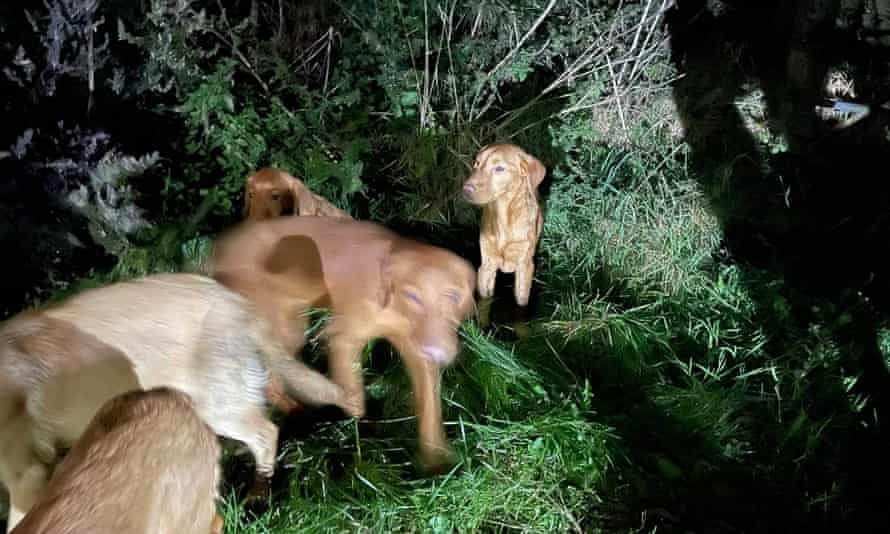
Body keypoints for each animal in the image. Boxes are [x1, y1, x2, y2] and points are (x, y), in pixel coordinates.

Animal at [211, 216, 476, 472]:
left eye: (453, 296)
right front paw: (357, 438)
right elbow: (354, 395)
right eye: (413, 297)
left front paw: (436, 461)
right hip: (280, 325)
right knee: (272, 376)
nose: (440, 353)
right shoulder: (343, 338)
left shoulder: (416, 344)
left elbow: (430, 403)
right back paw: (302, 415)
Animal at [462, 143, 544, 322]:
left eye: (499, 168)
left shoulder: (525, 267)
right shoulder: (486, 266)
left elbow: (521, 305)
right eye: (476, 164)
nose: (466, 189)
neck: (505, 218)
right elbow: (484, 302)